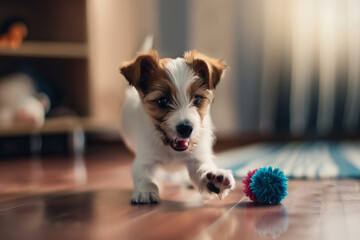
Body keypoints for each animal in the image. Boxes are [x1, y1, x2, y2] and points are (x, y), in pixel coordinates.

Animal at [119, 49, 235, 203]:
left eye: (197, 99)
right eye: (162, 101)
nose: (186, 128)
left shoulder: (196, 157)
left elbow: (202, 168)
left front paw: (214, 180)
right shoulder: (145, 159)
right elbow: (144, 175)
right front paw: (145, 190)